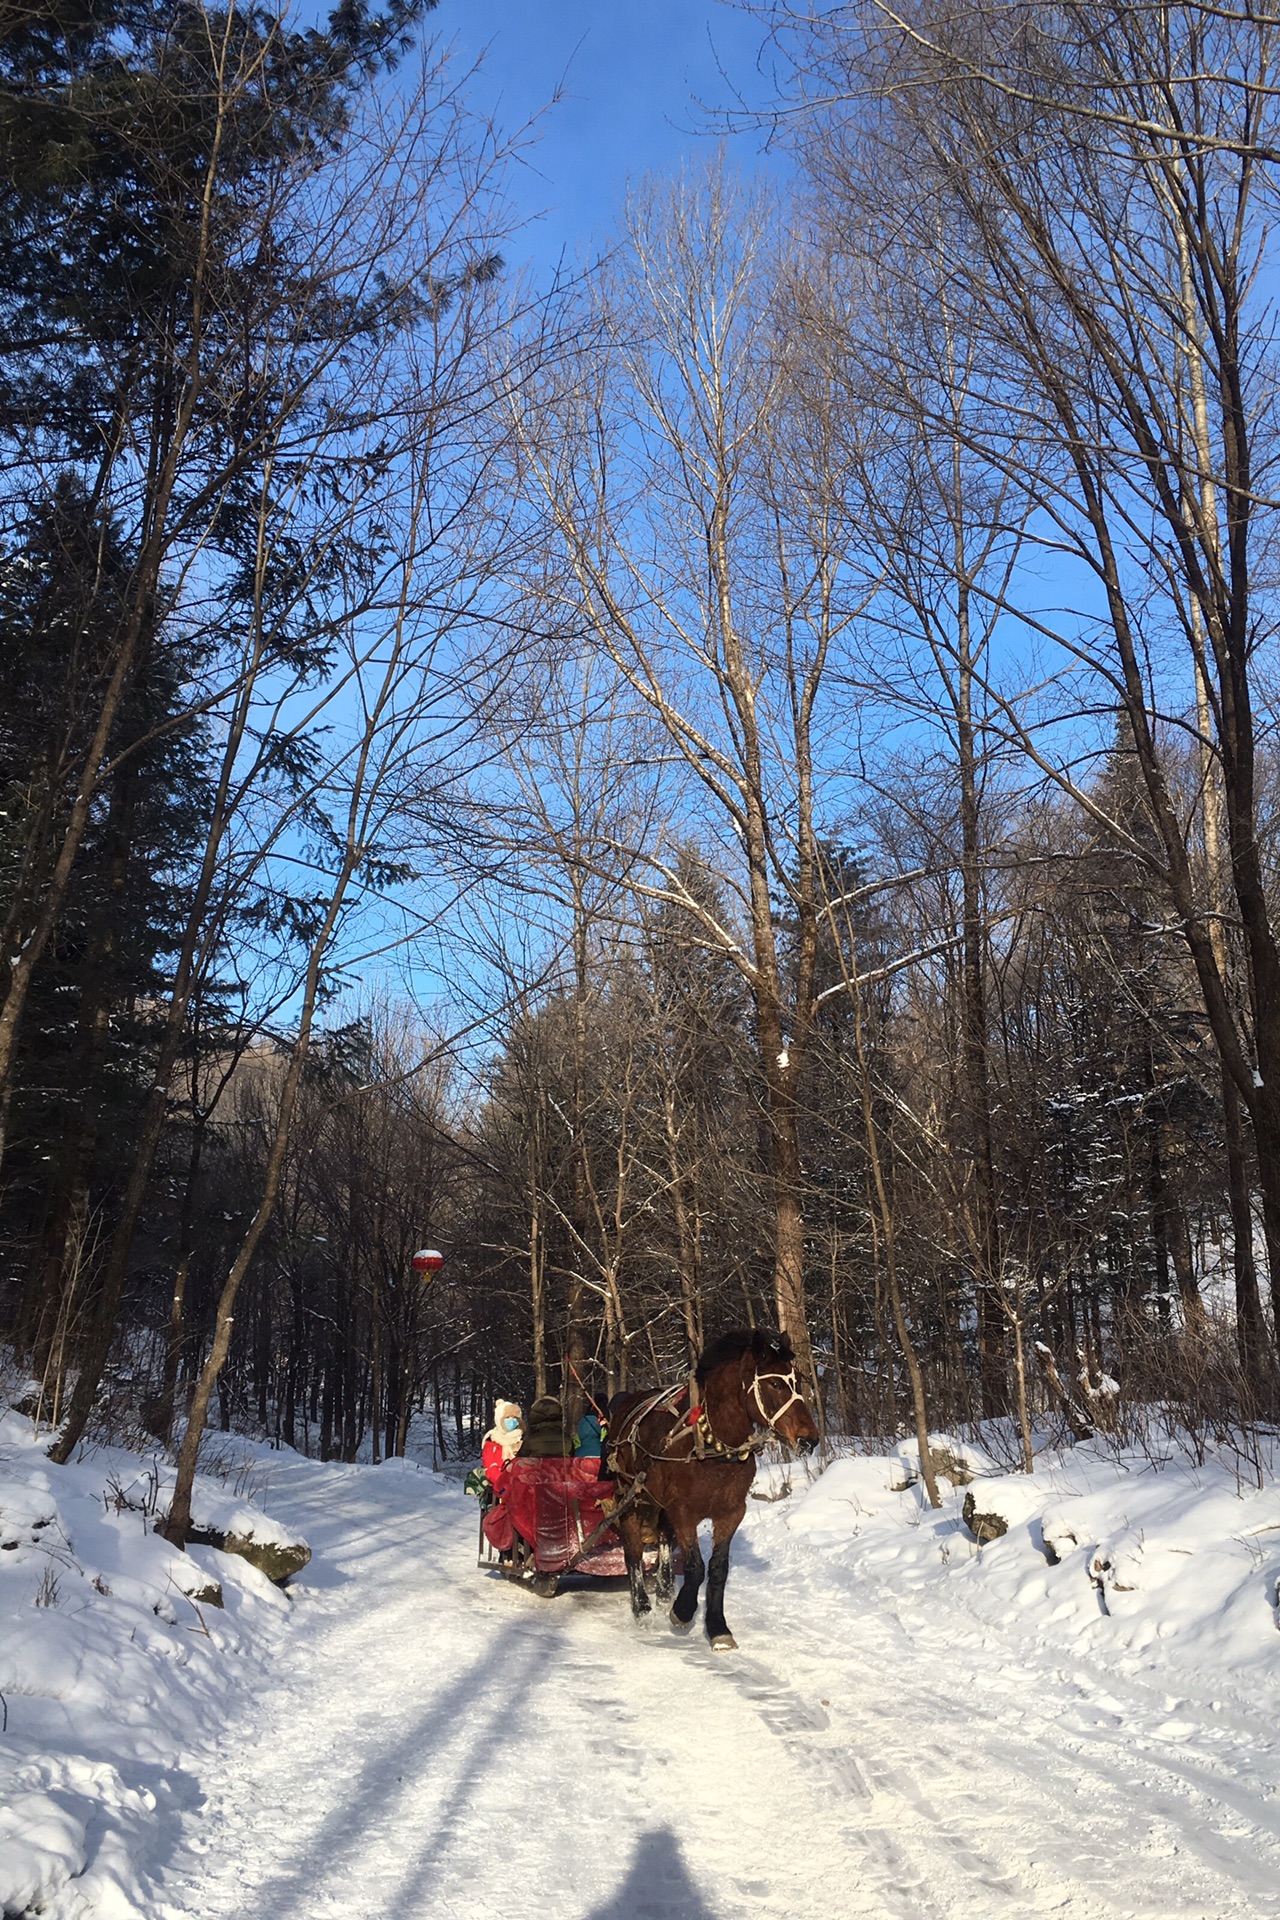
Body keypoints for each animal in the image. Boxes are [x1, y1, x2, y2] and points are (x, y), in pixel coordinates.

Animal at [602, 1320, 821, 1651]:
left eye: (796, 1382)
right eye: (775, 1384)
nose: (810, 1439)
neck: (712, 1447)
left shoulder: (730, 1512)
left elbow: (718, 1569)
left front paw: (717, 1626)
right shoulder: (684, 1510)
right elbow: (695, 1567)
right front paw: (682, 1611)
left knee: (663, 1537)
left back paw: (664, 1590)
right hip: (633, 1496)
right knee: (633, 1549)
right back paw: (642, 1606)